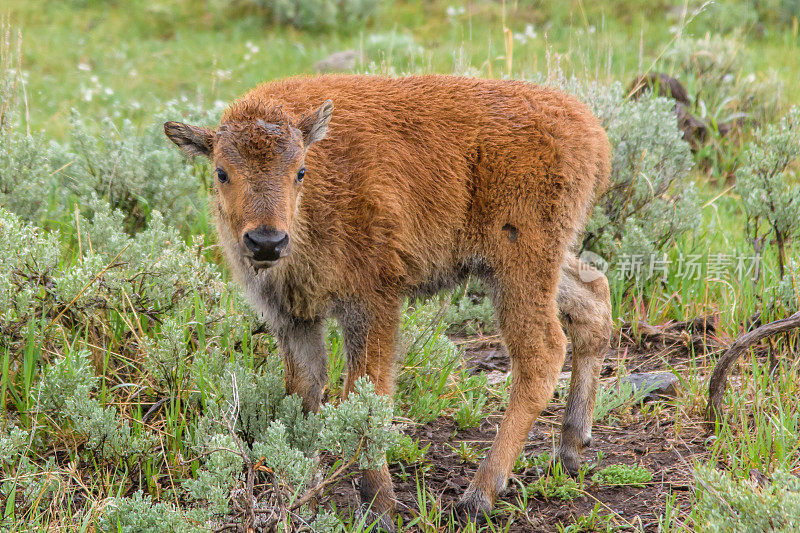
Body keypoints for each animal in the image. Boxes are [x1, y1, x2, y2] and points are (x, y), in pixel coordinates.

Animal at [164, 75, 612, 528]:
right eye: (221, 172)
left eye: (300, 171)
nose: (266, 242)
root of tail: (591, 131)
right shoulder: (294, 319)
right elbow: (304, 395)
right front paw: (301, 498)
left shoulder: (371, 306)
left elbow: (364, 396)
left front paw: (378, 507)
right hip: (534, 264)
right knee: (593, 302)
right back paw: (571, 449)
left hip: (517, 267)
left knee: (542, 353)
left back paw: (478, 496)